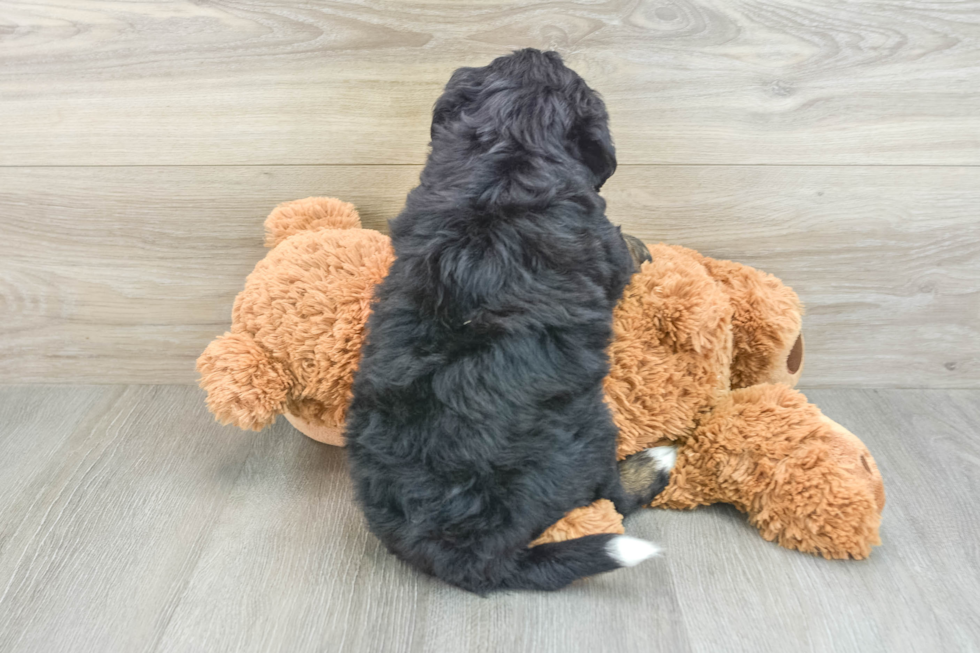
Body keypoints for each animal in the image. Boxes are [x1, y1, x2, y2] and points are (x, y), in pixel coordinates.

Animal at [344, 48, 672, 592]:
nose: (543, 49)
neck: (513, 149)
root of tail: (463, 550)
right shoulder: (605, 244)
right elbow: (624, 246)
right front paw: (644, 247)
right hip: (591, 435)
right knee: (611, 497)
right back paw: (656, 463)